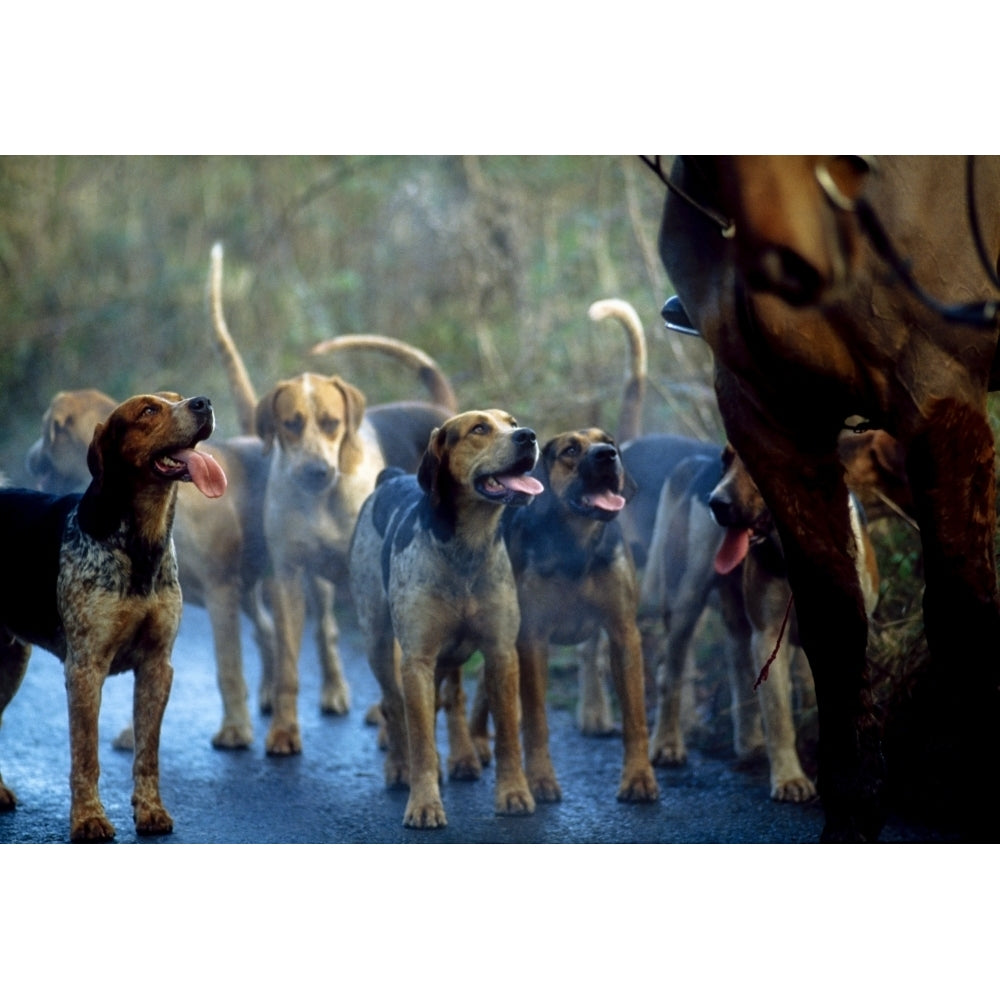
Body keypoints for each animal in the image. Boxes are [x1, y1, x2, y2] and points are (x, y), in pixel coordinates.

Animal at [656, 156, 1000, 840]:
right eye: (728, 460)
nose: (719, 505)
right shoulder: (764, 408)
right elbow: (830, 633)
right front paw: (844, 804)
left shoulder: (939, 393)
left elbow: (962, 611)